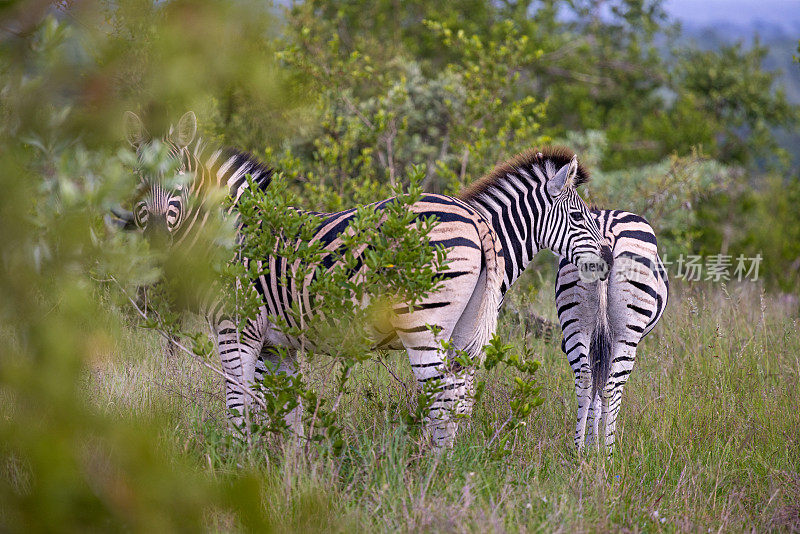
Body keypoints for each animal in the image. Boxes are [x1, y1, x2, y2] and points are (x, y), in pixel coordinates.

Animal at [114, 111, 612, 450]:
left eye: (178, 178)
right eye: (137, 177)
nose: (606, 258)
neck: (230, 231)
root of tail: (472, 221)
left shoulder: (236, 328)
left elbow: (239, 406)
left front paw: (240, 467)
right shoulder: (277, 343)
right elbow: (289, 415)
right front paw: (291, 476)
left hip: (424, 324)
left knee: (441, 401)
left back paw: (433, 476)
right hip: (457, 332)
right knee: (456, 401)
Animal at [556, 207, 668, 458]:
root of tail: (606, 226)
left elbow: (594, 390)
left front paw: (590, 444)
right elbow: (603, 390)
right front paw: (597, 445)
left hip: (574, 321)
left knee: (585, 379)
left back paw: (578, 450)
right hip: (628, 330)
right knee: (612, 385)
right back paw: (609, 453)